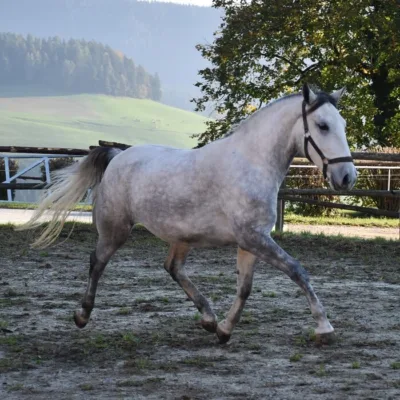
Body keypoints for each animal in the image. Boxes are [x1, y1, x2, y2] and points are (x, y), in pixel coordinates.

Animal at [21, 84, 356, 344]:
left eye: (343, 124)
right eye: (322, 126)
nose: (347, 177)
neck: (252, 163)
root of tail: (117, 156)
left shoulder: (251, 241)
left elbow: (245, 288)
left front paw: (224, 330)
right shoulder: (253, 238)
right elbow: (297, 271)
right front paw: (324, 327)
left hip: (181, 236)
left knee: (172, 268)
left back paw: (208, 318)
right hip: (115, 230)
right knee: (97, 262)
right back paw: (82, 315)